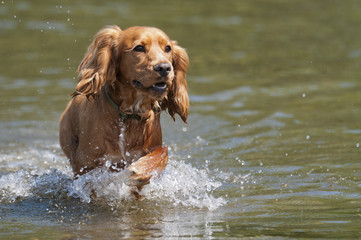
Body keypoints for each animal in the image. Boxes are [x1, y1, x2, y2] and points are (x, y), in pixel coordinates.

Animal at [59, 26, 188, 176]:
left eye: (168, 48)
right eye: (139, 48)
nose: (164, 68)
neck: (129, 114)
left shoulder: (152, 148)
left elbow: (160, 155)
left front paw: (140, 169)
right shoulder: (85, 162)